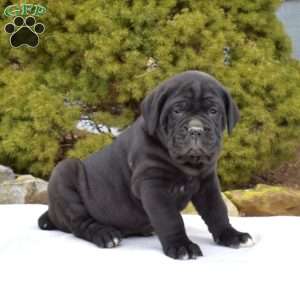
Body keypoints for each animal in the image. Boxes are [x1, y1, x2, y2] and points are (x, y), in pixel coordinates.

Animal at [38, 71, 253, 260]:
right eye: (177, 111)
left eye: (213, 111)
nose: (195, 129)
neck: (186, 163)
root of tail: (52, 213)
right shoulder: (153, 184)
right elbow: (170, 218)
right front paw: (181, 246)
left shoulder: (207, 183)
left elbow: (217, 210)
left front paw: (231, 235)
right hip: (65, 172)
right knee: (81, 223)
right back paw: (105, 234)